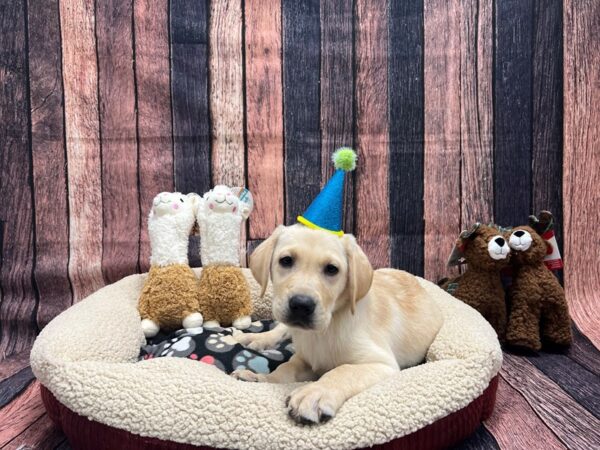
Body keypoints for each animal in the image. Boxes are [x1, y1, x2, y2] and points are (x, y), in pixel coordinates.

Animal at [230, 227, 440, 424]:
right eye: (286, 261)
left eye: (331, 269)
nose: (301, 305)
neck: (324, 330)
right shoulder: (304, 358)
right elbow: (286, 368)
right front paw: (263, 378)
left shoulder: (382, 364)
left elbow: (343, 371)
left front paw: (315, 392)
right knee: (280, 330)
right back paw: (254, 338)